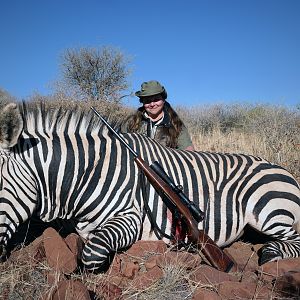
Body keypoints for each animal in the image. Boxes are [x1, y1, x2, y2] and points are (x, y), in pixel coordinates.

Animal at [0, 102, 298, 270]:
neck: (89, 174)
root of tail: (285, 171)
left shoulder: (129, 217)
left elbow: (92, 253)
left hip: (269, 212)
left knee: (291, 240)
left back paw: (269, 254)